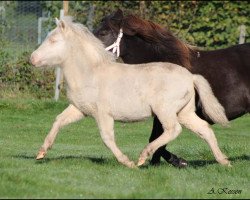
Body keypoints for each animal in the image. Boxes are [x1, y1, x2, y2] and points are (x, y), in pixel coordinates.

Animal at [29, 17, 230, 168]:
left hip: (165, 111)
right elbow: (58, 121)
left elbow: (107, 138)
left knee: (173, 129)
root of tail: (190, 77)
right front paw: (41, 153)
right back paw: (224, 161)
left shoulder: (102, 114)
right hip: (184, 113)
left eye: (53, 40)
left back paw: (143, 156)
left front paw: (127, 162)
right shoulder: (79, 110)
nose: (32, 59)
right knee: (205, 129)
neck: (90, 73)